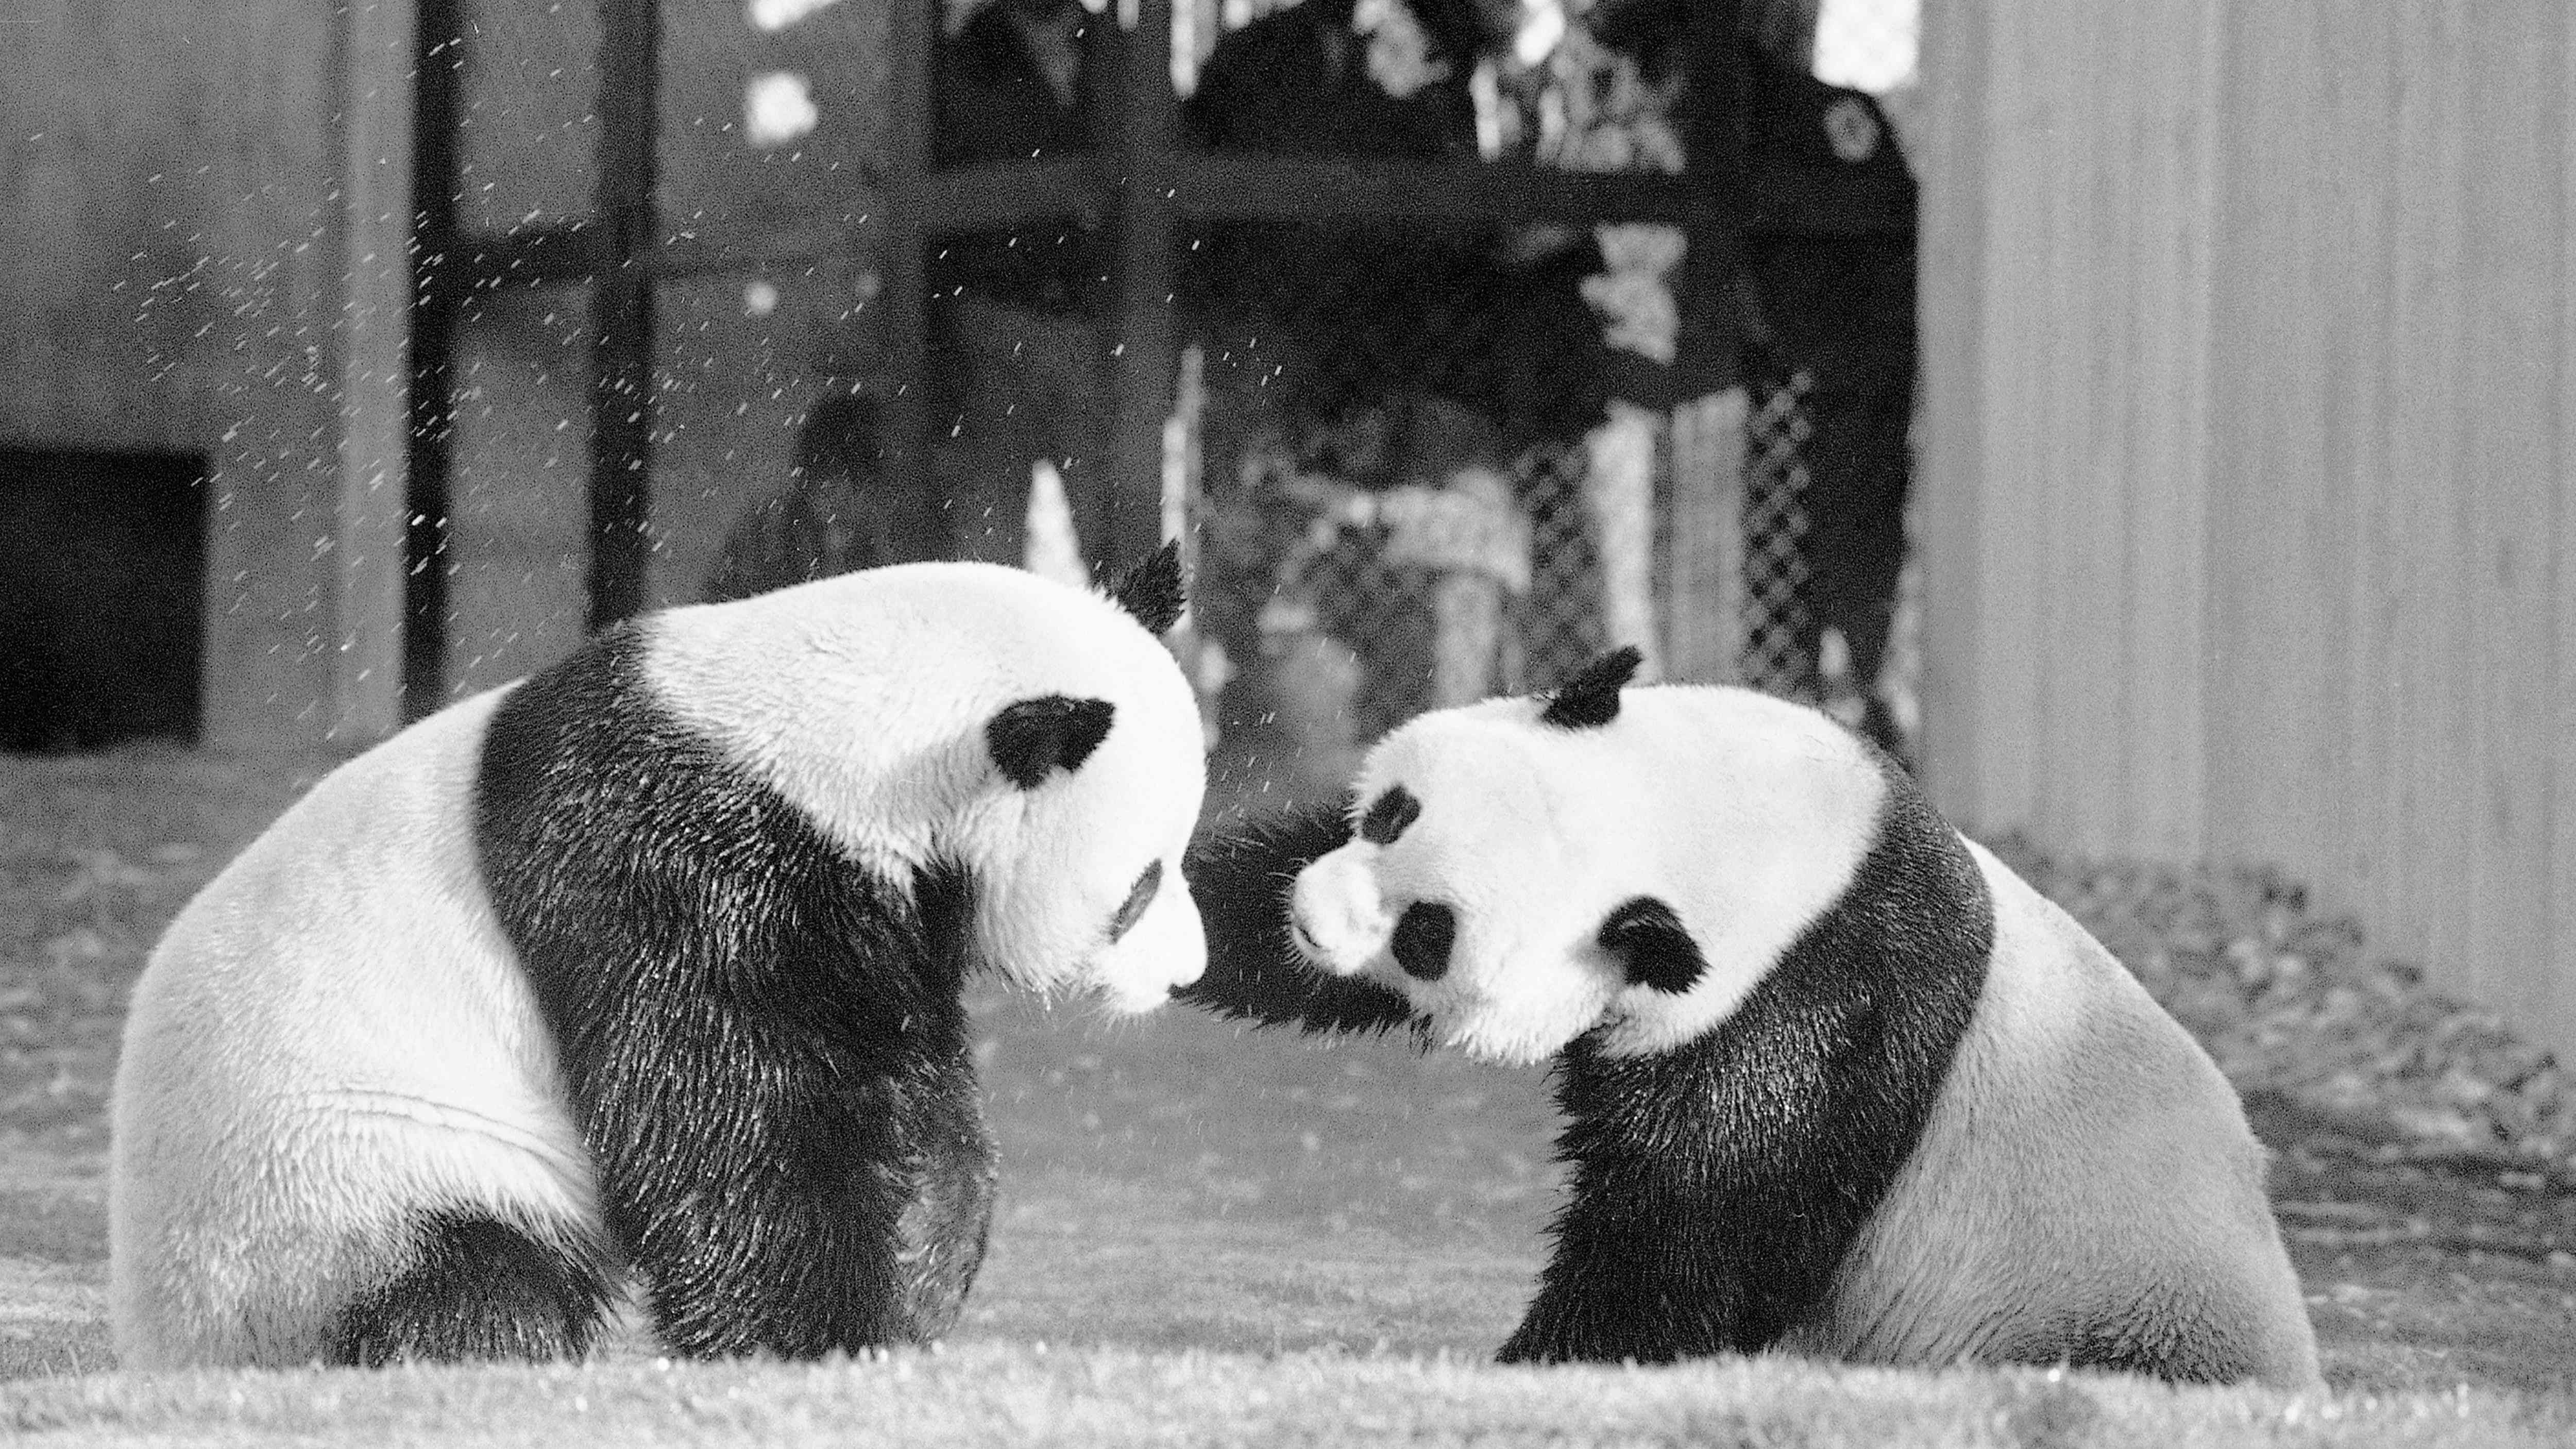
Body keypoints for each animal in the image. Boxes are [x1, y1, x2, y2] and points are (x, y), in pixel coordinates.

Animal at [110, 548, 1208, 1370]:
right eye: (1141, 885)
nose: (1188, 974)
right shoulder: (681, 869)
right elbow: (730, 1118)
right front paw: (813, 1337)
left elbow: (913, 1089)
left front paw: (924, 1271)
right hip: (340, 1182)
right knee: (470, 1277)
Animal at [1183, 646, 2321, 1385]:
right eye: (1391, 814)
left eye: (1431, 931)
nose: (1313, 918)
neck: (1723, 831)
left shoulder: (1811, 1005)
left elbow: (1695, 1235)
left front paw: (1529, 1370)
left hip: (2109, 1306)